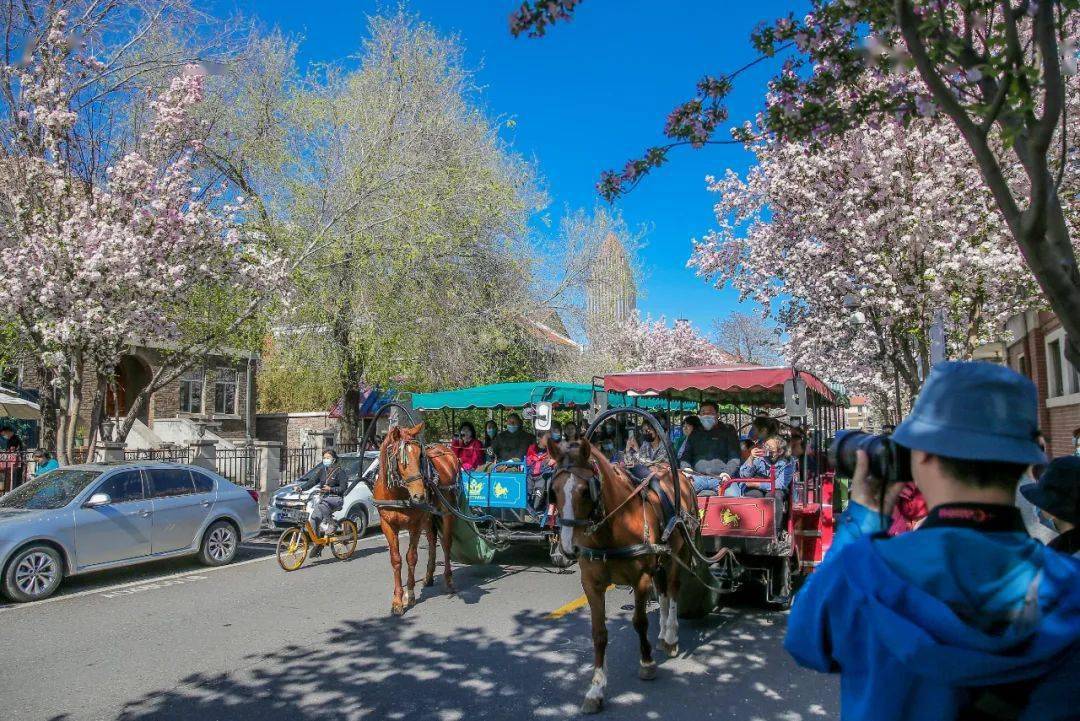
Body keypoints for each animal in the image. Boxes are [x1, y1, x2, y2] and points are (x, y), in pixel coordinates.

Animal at [373, 423, 457, 613]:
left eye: (420, 455)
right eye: (398, 457)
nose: (420, 496)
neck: (397, 494)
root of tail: (445, 449)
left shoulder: (415, 524)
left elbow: (411, 557)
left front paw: (410, 595)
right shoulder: (387, 525)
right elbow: (396, 559)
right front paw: (397, 600)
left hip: (447, 511)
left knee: (446, 543)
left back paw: (448, 580)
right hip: (430, 517)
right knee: (433, 540)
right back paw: (429, 576)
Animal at [552, 436, 695, 712]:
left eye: (585, 491)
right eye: (553, 491)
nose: (567, 548)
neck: (613, 527)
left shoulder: (640, 579)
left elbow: (639, 622)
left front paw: (647, 663)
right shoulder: (591, 584)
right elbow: (598, 633)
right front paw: (596, 689)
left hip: (679, 551)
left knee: (672, 588)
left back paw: (671, 636)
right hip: (660, 558)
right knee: (662, 589)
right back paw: (662, 634)